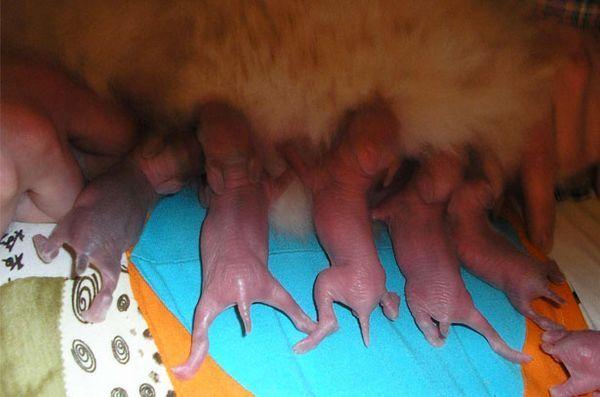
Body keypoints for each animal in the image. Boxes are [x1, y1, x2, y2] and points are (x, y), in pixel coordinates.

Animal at [172, 101, 316, 378]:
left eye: (201, 129)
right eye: (238, 116)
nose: (210, 103)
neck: (235, 169)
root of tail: (242, 289)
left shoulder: (222, 191)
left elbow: (205, 197)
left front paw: (198, 184)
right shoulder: (263, 186)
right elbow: (283, 178)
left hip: (211, 298)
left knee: (201, 333)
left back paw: (183, 370)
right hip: (271, 289)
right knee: (296, 314)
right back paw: (315, 331)